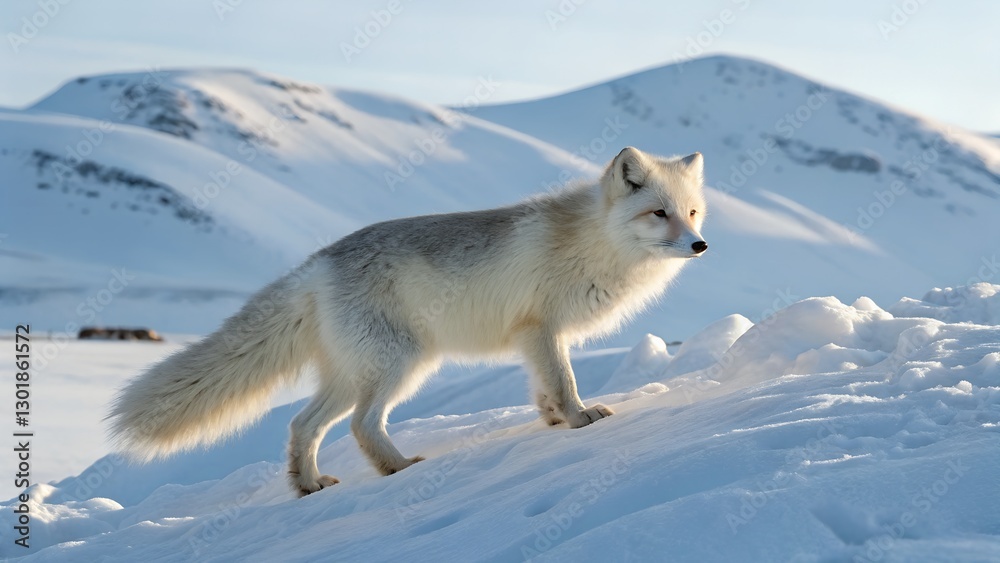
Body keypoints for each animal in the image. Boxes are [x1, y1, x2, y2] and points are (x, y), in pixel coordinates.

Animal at [108, 147, 708, 496]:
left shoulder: (531, 336)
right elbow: (564, 380)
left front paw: (554, 422)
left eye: (692, 212)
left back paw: (310, 486)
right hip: (400, 365)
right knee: (360, 425)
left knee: (303, 425)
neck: (596, 242)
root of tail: (317, 262)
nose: (700, 245)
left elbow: (543, 388)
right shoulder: (541, 328)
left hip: (352, 375)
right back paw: (398, 469)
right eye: (659, 213)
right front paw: (581, 420)